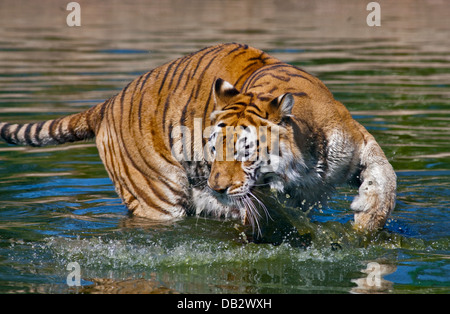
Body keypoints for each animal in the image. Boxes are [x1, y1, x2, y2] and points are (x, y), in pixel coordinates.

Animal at [0, 42, 396, 231]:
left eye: (244, 152)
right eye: (211, 150)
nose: (216, 187)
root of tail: (108, 102)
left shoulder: (358, 142)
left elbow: (386, 178)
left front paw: (366, 222)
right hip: (157, 200)